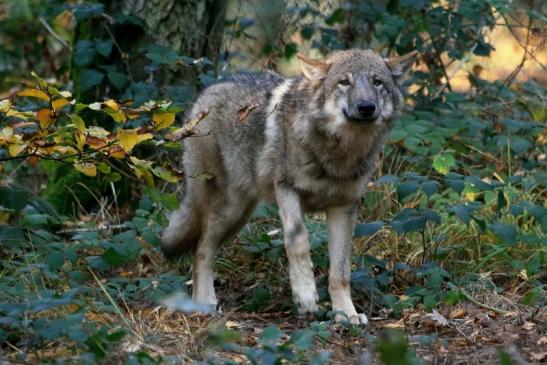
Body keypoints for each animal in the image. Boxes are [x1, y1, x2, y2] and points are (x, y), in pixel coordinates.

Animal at [161, 48, 418, 324]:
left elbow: (340, 272)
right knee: (201, 249)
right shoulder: (286, 189)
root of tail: (205, 94)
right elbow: (298, 241)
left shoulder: (345, 207)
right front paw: (305, 297)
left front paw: (345, 314)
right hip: (228, 210)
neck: (338, 153)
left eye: (377, 82)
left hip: (240, 216)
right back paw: (202, 303)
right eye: (344, 82)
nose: (366, 107)